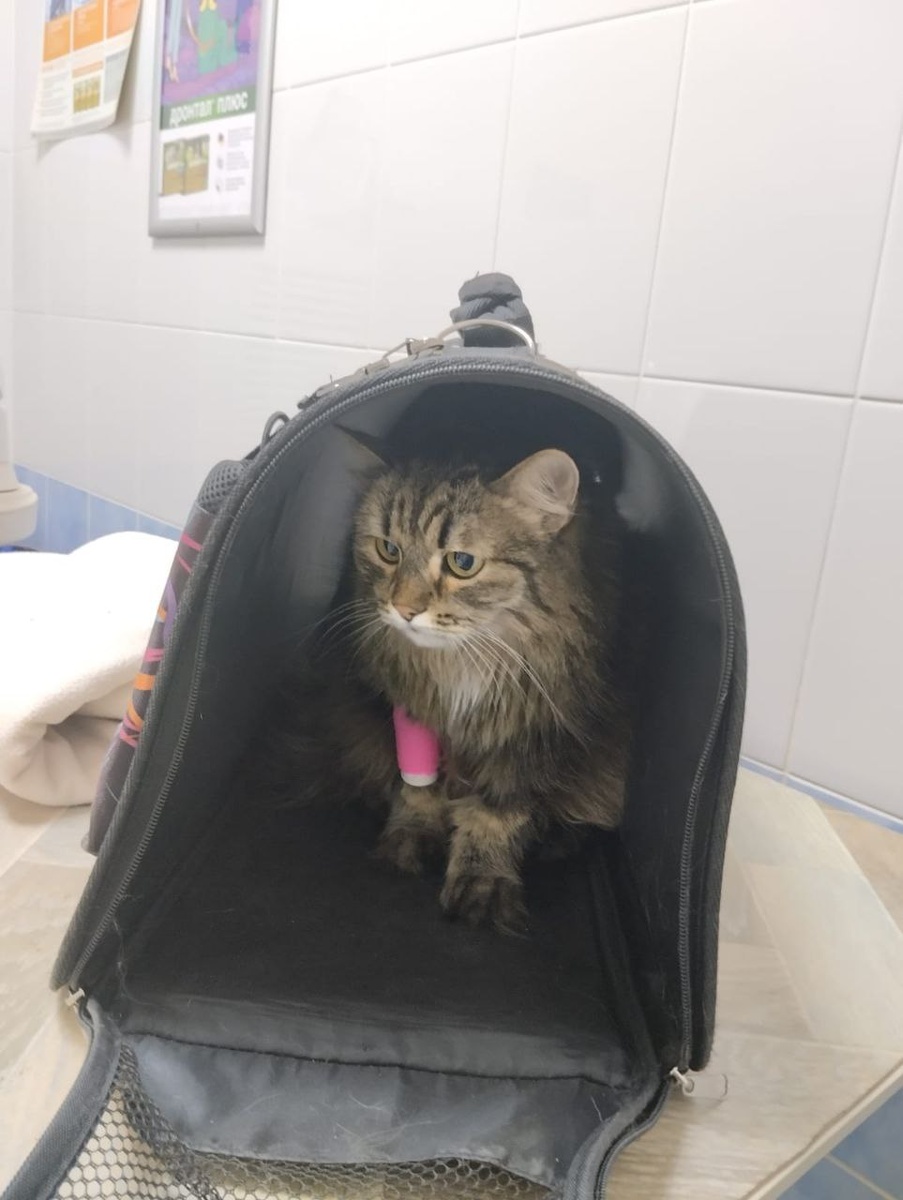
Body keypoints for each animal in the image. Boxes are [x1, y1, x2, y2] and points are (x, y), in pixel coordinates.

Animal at [272, 442, 633, 934]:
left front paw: (482, 882)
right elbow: (416, 785)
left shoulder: (532, 729)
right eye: (388, 549)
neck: (463, 661)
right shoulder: (409, 712)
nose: (403, 610)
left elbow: (496, 814)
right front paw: (410, 836)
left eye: (461, 563)